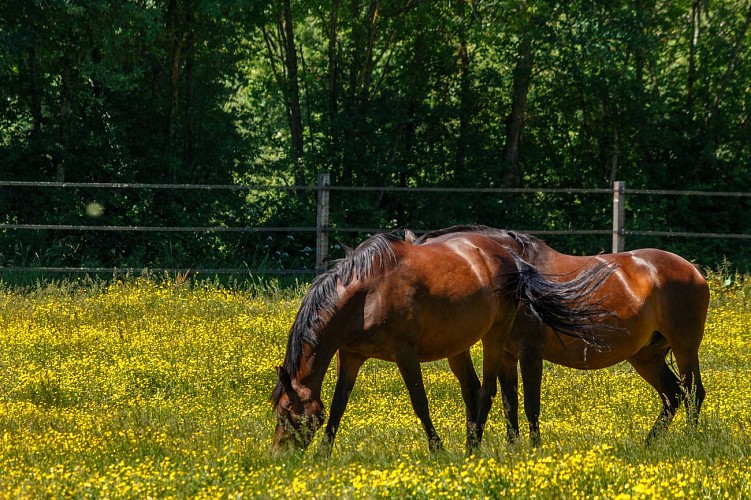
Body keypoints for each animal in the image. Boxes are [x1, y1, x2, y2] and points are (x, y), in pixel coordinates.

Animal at [270, 230, 616, 454]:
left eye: (289, 416)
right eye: (280, 412)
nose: (280, 458)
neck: (367, 294)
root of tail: (512, 259)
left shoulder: (405, 353)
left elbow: (419, 402)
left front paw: (437, 450)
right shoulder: (351, 356)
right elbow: (339, 404)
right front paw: (323, 454)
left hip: (494, 337)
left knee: (487, 390)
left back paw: (471, 449)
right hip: (459, 345)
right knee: (474, 389)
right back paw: (472, 442)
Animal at [414, 226, 708, 446]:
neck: (519, 278)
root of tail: (692, 270)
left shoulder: (530, 354)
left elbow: (531, 406)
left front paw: (534, 450)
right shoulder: (507, 356)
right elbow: (510, 406)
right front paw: (513, 450)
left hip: (684, 347)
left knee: (694, 392)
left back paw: (690, 439)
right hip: (646, 356)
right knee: (673, 395)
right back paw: (649, 443)